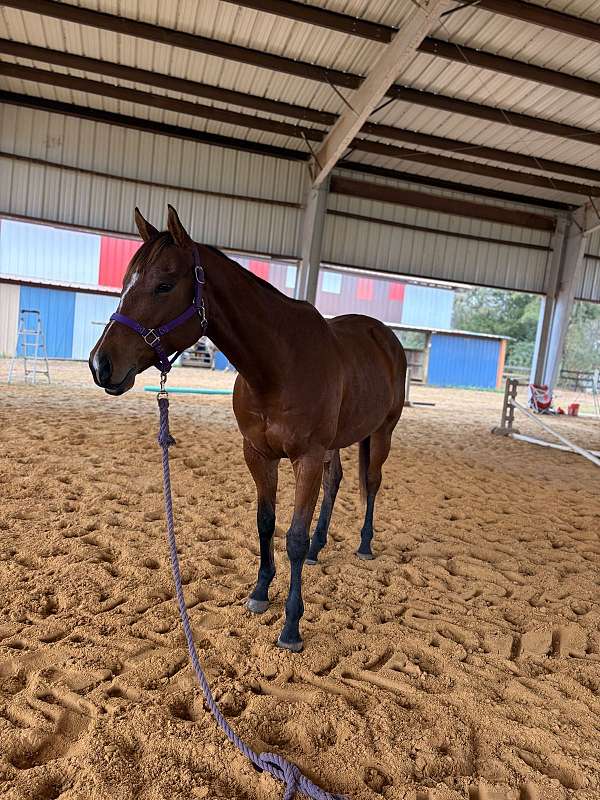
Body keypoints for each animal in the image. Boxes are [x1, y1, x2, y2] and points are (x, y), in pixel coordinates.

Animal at [90, 206, 407, 652]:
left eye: (164, 285)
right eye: (124, 284)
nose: (101, 364)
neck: (278, 364)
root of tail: (385, 337)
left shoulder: (306, 458)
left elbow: (293, 536)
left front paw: (291, 626)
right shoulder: (258, 454)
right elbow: (265, 523)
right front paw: (259, 593)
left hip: (382, 433)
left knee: (372, 483)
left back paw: (364, 543)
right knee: (336, 481)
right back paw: (320, 546)